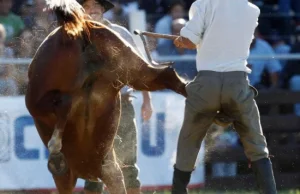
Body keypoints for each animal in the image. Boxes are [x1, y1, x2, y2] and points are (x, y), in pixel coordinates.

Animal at [24, 0, 186, 194]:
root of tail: (78, 31)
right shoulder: (109, 169)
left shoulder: (67, 178)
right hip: (134, 69)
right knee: (166, 75)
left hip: (36, 100)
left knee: (63, 104)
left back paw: (55, 149)